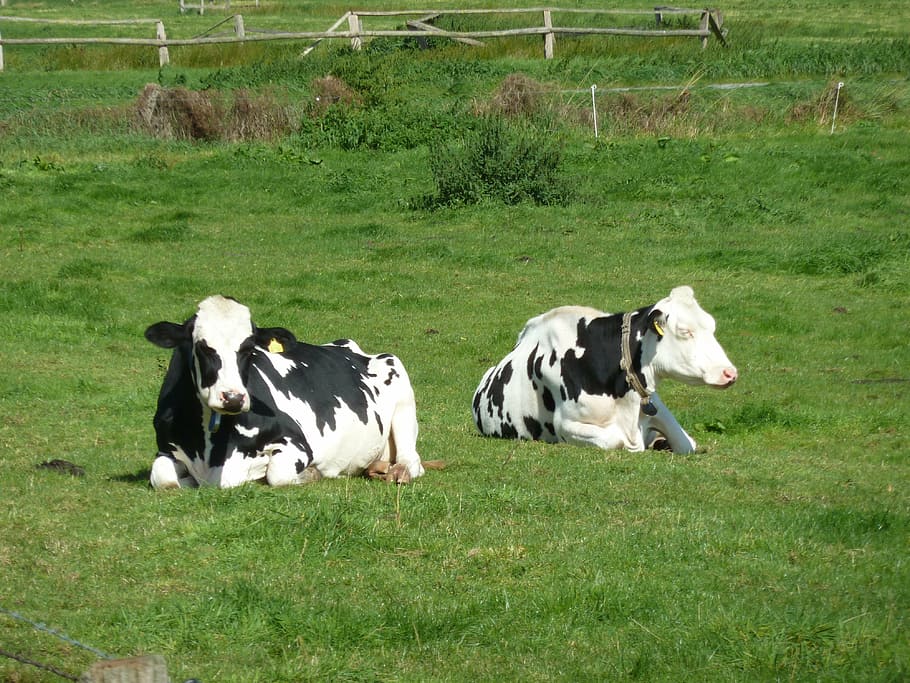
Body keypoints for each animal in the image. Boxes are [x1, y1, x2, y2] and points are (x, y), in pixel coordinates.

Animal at [144, 295, 425, 488]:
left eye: (249, 349)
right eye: (202, 347)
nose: (234, 398)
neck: (211, 450)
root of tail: (349, 346)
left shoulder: (295, 441)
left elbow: (277, 474)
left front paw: (309, 473)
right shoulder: (165, 448)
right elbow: (163, 478)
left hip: (400, 388)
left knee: (412, 460)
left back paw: (399, 472)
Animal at [471, 286, 738, 454]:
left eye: (712, 325)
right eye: (685, 331)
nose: (730, 373)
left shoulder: (655, 406)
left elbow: (687, 443)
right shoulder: (565, 425)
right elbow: (617, 440)